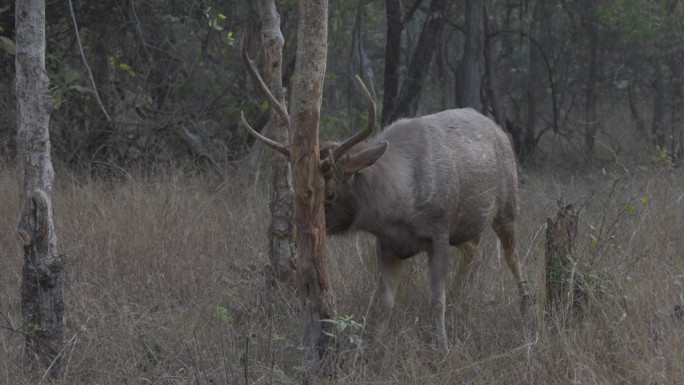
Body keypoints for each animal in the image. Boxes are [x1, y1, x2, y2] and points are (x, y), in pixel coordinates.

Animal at [238, 36, 532, 352]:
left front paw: (443, 348)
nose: (302, 231)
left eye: (329, 194)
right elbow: (385, 303)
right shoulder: (387, 243)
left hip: (508, 205)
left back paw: (526, 304)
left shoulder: (439, 230)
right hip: (470, 219)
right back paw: (458, 296)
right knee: (472, 246)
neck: (398, 209)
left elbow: (435, 301)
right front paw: (376, 348)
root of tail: (500, 130)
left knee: (511, 254)